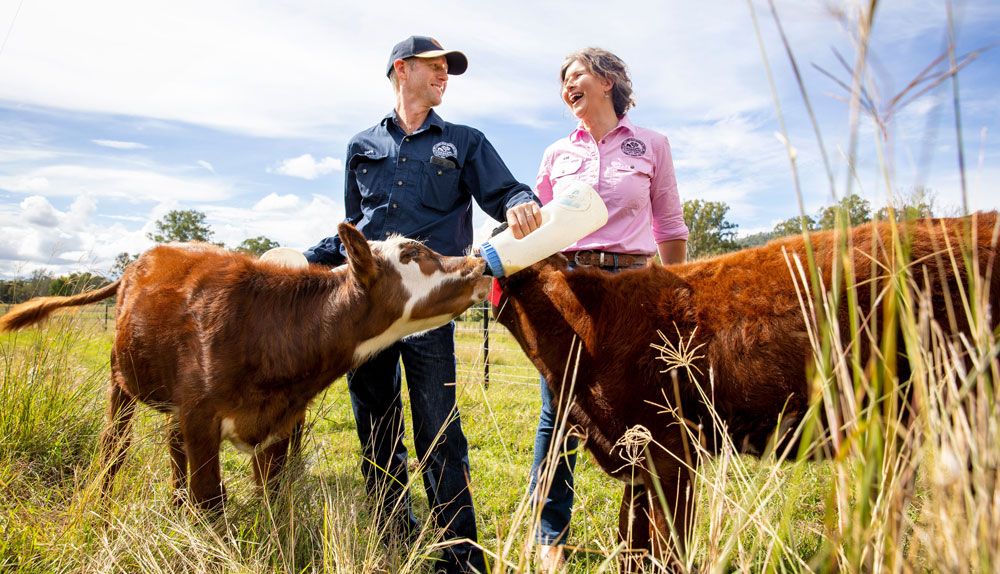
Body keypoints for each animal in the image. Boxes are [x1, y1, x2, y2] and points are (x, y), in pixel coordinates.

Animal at [0, 223, 492, 510]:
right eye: (415, 254)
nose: (478, 264)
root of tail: (139, 263)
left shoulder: (277, 427)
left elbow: (269, 501)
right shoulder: (200, 418)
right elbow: (210, 498)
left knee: (172, 451)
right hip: (120, 378)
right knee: (114, 445)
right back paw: (103, 500)